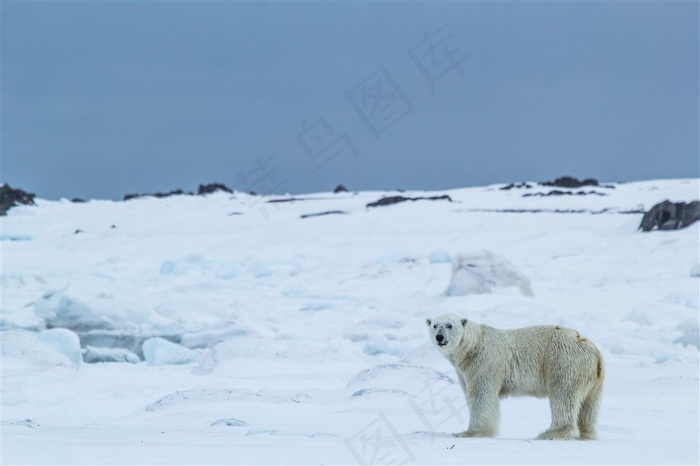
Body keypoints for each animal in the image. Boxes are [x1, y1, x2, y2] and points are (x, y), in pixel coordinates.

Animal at [424, 314, 604, 440]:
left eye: (449, 325)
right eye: (435, 325)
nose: (440, 337)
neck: (472, 347)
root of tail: (593, 349)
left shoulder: (484, 362)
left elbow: (481, 395)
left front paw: (469, 432)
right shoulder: (464, 371)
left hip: (564, 361)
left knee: (563, 395)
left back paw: (550, 433)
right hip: (592, 377)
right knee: (589, 404)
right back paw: (586, 434)